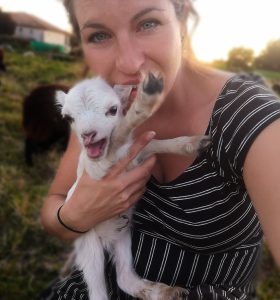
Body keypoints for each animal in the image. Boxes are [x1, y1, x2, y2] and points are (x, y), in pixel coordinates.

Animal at [56, 73, 210, 300]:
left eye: (113, 109)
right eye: (68, 118)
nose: (88, 135)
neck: (120, 159)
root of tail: (107, 238)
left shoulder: (137, 154)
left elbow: (153, 143)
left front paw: (192, 143)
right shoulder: (95, 171)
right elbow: (117, 138)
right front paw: (145, 102)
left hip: (124, 236)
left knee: (124, 277)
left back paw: (167, 291)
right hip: (89, 244)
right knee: (98, 291)